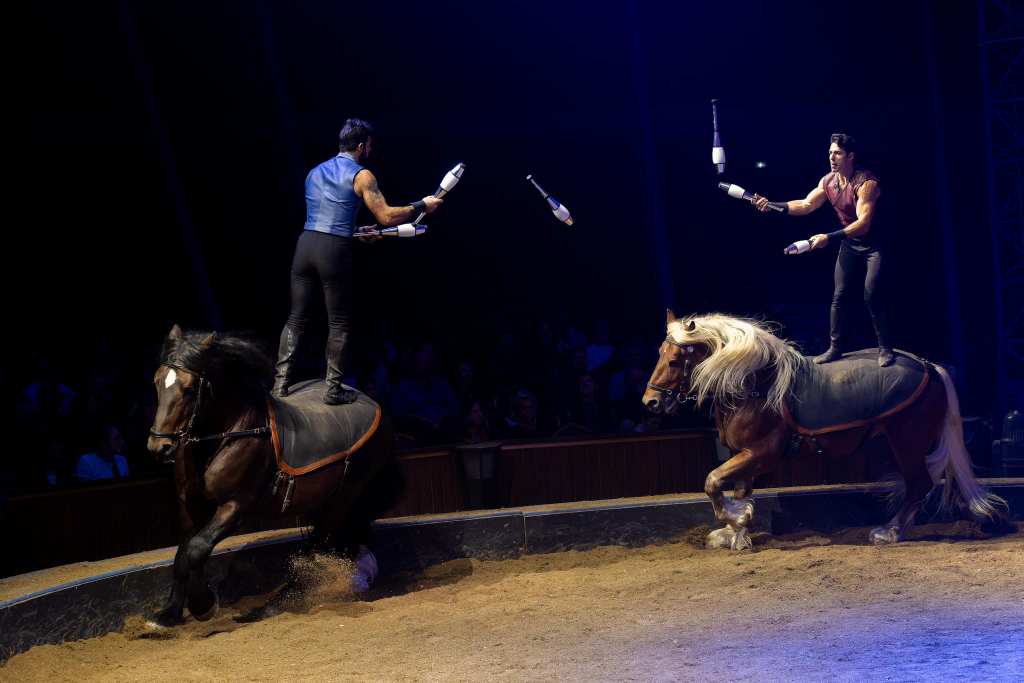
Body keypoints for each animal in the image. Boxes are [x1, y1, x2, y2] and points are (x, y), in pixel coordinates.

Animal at [146, 325, 400, 626]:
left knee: (324, 544)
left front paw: (203, 605)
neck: (229, 433)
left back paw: (283, 600)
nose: (159, 447)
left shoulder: (235, 507)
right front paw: (168, 614)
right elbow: (183, 555)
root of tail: (374, 403)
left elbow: (196, 549)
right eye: (157, 383)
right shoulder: (190, 507)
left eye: (189, 389)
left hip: (344, 496)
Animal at [642, 310, 1007, 550]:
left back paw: (888, 532)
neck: (754, 386)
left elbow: (713, 481)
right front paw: (737, 532)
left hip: (907, 439)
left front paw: (737, 522)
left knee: (919, 484)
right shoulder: (743, 455)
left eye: (673, 361)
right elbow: (738, 490)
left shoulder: (762, 452)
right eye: (659, 354)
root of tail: (930, 367)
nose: (651, 402)